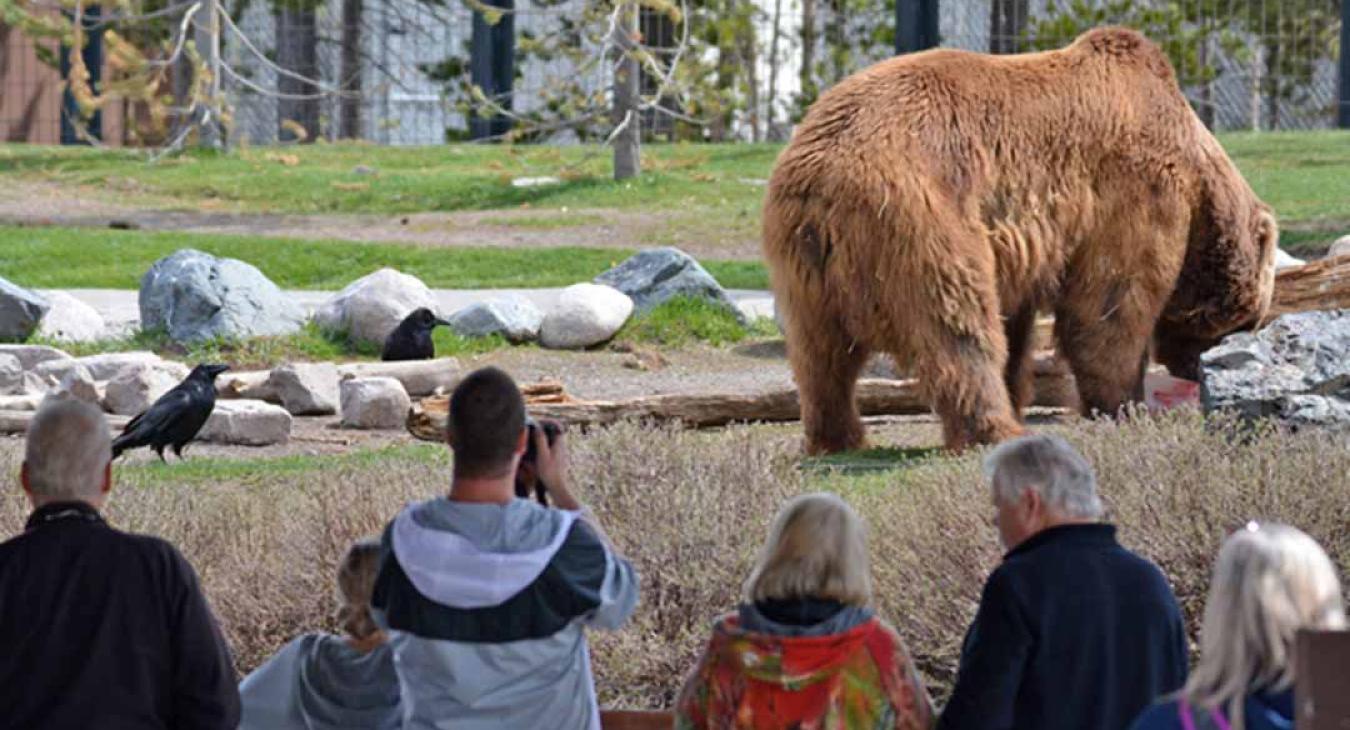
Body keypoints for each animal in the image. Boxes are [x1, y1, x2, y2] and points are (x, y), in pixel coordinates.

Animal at [766, 26, 1279, 450]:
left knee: (821, 355)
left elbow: (1019, 319)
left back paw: (838, 436)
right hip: (920, 215)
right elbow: (1111, 303)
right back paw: (996, 429)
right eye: (1250, 320)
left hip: (805, 266)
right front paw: (1124, 405)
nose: (1197, 370)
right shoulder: (1136, 189)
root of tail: (820, 181)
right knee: (957, 324)